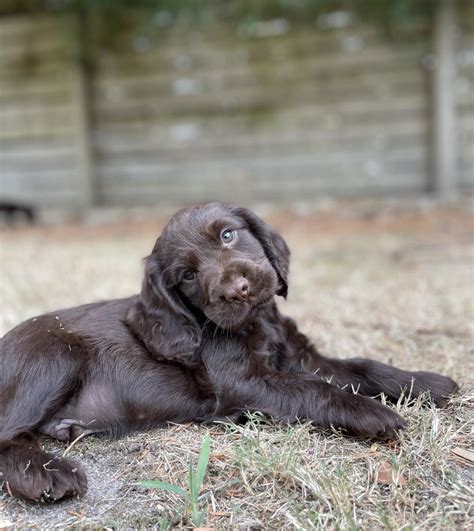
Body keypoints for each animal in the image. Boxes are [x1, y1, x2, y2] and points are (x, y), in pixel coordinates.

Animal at [0, 203, 460, 502]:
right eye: (187, 275)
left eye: (227, 234)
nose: (237, 289)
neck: (256, 322)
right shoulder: (245, 383)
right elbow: (314, 388)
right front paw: (369, 412)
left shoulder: (302, 356)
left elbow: (360, 366)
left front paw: (424, 382)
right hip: (52, 356)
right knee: (7, 433)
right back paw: (46, 473)